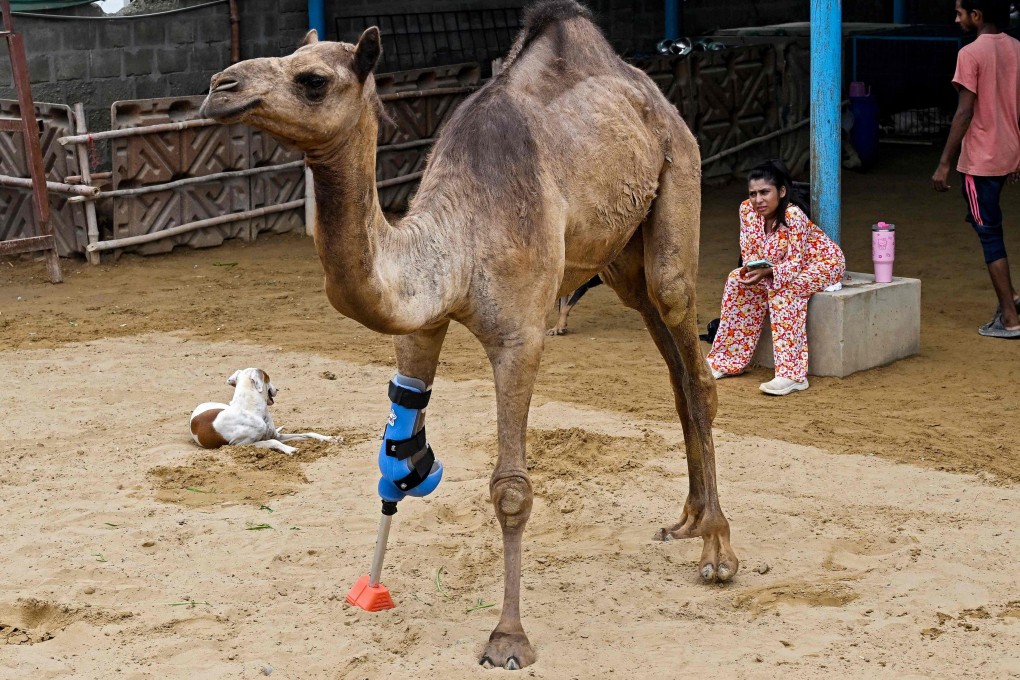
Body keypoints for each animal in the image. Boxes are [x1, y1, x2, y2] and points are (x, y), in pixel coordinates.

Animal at [200, 0, 737, 669]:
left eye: (312, 79)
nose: (219, 87)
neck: (454, 245)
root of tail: (653, 95)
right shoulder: (419, 328)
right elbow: (394, 461)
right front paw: (369, 587)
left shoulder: (519, 336)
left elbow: (510, 489)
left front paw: (507, 638)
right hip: (622, 259)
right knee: (674, 368)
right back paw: (686, 520)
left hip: (676, 183)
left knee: (694, 359)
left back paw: (717, 552)